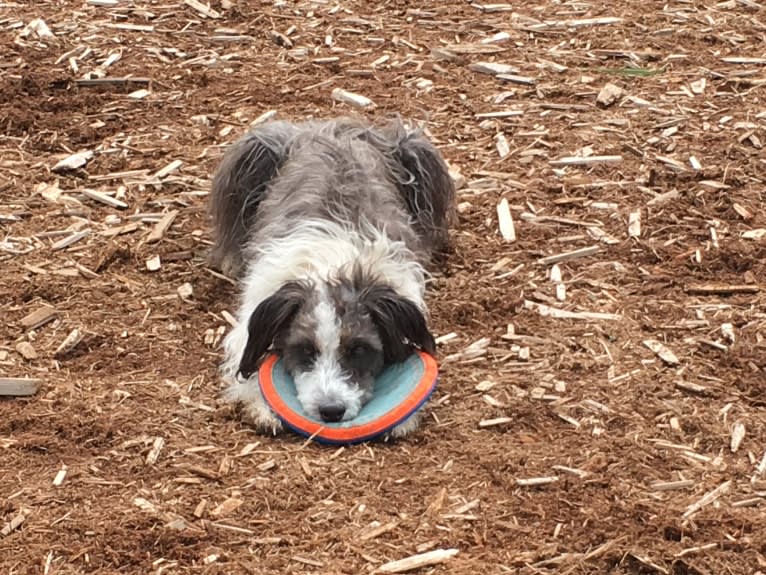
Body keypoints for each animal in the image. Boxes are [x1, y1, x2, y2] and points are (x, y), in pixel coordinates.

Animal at [210, 117, 456, 438]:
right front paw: (265, 407)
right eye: (304, 350)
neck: (336, 271)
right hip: (248, 159)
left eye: (360, 349)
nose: (331, 411)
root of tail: (335, 127)